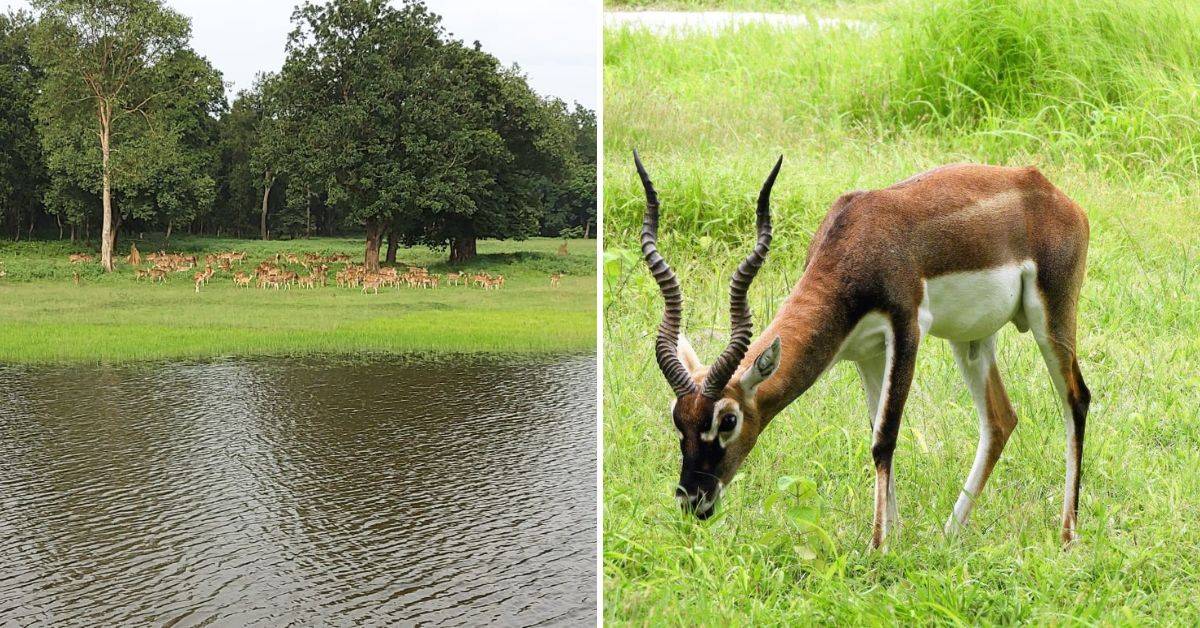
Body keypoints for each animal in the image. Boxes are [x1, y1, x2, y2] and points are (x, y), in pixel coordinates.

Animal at [638, 153, 1099, 549]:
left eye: (728, 420)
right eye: (677, 419)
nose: (692, 500)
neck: (857, 240)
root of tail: (1051, 193)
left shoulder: (907, 329)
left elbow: (885, 438)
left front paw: (877, 546)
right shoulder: (866, 353)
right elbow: (875, 428)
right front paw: (894, 535)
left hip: (1051, 319)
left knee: (1076, 398)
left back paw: (1068, 534)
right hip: (971, 339)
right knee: (1000, 419)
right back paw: (949, 534)